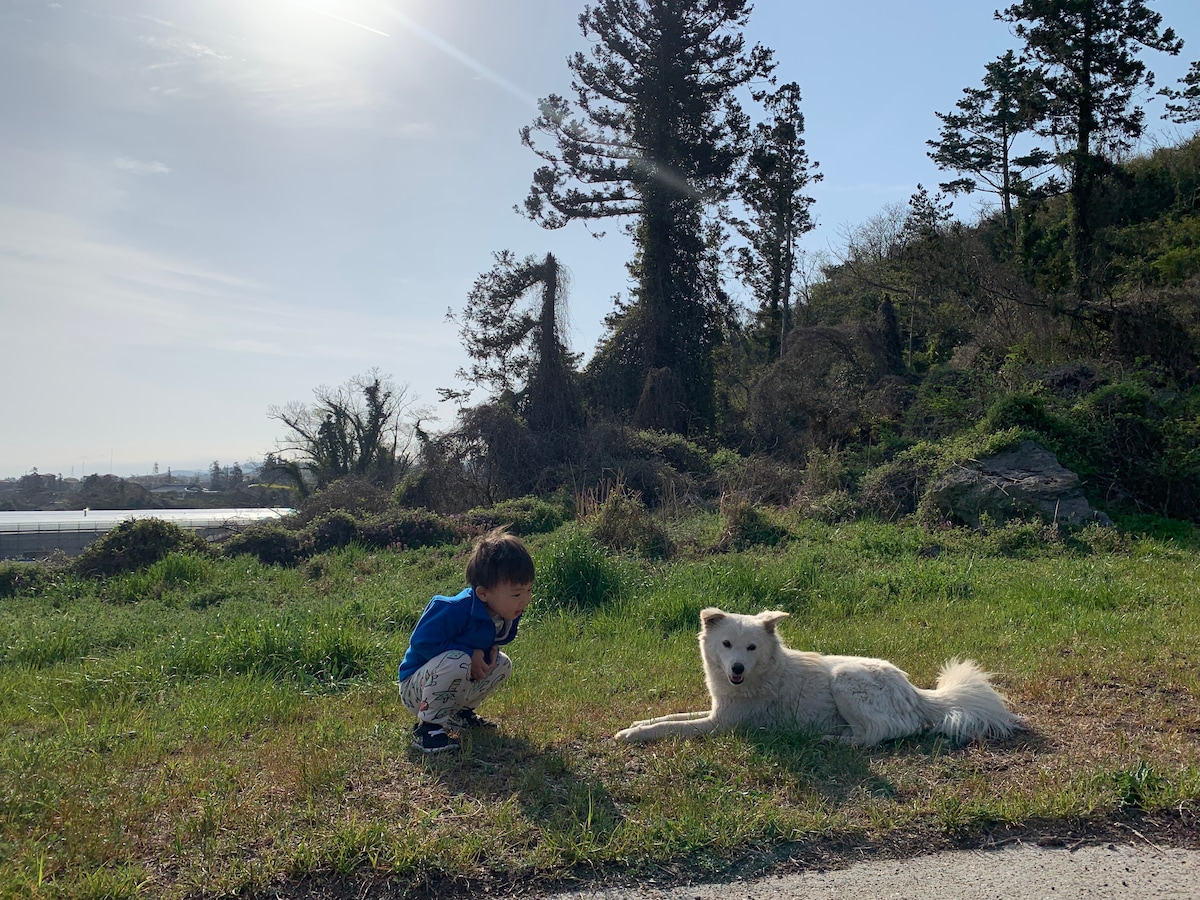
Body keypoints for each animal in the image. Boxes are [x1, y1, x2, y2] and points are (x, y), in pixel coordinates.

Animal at [619, 614, 1022, 748]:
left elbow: (671, 728)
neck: (766, 670)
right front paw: (634, 724)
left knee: (883, 733)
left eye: (751, 647)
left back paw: (831, 740)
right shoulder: (715, 711)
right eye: (727, 645)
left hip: (844, 679)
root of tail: (917, 693)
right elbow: (668, 718)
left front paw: (633, 735)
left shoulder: (721, 724)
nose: (737, 669)